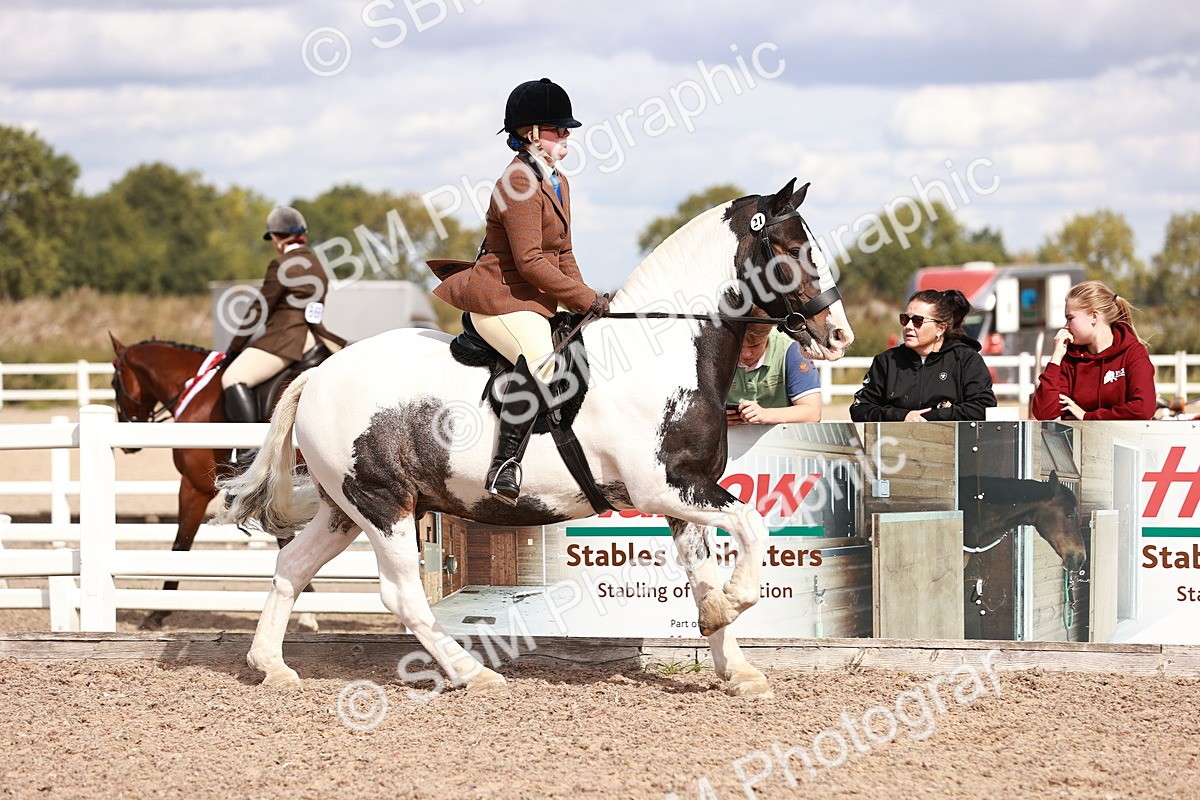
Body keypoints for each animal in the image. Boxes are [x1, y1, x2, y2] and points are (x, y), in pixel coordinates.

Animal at [109, 336, 319, 632]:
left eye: (114, 383)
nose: (128, 443)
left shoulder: (194, 487)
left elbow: (181, 544)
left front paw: (157, 612)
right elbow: (284, 539)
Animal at [217, 178, 855, 697]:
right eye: (791, 250)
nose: (839, 335)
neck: (665, 348)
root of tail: (319, 374)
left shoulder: (687, 490)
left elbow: (703, 575)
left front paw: (734, 661)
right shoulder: (662, 488)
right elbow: (752, 524)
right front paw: (734, 604)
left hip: (346, 507)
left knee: (292, 566)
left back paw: (271, 666)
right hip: (383, 504)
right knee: (402, 596)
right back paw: (473, 673)